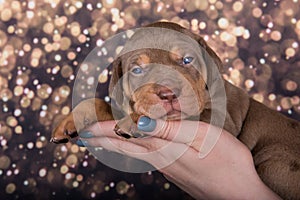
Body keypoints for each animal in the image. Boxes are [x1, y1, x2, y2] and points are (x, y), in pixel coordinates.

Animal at [51, 21, 300, 198]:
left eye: (187, 60)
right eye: (137, 70)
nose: (168, 93)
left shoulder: (222, 123)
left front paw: (136, 119)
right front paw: (72, 119)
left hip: (274, 162)